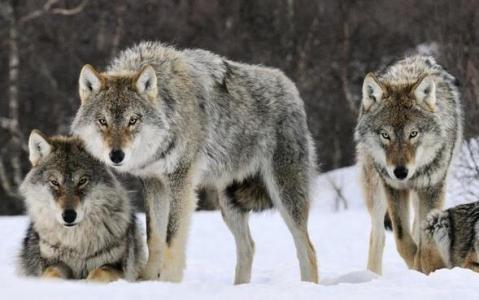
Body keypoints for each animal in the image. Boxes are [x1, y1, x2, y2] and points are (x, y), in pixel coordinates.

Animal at [18, 131, 146, 282]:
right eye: (54, 182)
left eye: (82, 181)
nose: (69, 216)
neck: (76, 244)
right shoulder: (52, 263)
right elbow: (52, 273)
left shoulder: (117, 267)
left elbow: (98, 273)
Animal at [71, 40, 318, 284]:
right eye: (102, 121)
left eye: (133, 120)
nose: (116, 155)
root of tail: (289, 86)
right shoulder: (153, 183)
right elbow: (155, 237)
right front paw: (148, 280)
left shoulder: (181, 181)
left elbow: (172, 239)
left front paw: (168, 282)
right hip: (229, 204)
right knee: (249, 246)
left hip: (284, 195)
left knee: (307, 249)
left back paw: (307, 285)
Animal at [354, 55, 464, 276]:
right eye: (385, 135)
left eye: (413, 134)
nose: (400, 172)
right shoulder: (393, 188)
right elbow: (402, 239)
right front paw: (416, 264)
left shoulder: (432, 188)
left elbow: (425, 241)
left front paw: (426, 268)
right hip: (376, 191)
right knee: (378, 236)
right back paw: (373, 276)